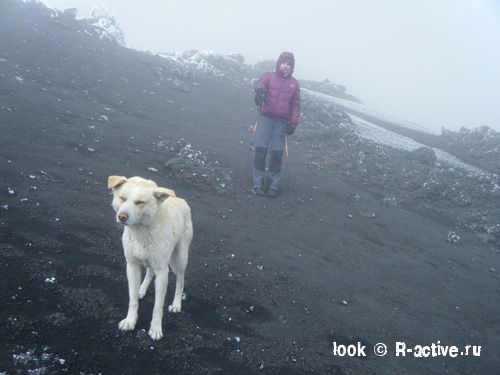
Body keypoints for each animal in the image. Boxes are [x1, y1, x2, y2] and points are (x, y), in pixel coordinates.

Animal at [108, 176, 193, 340]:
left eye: (140, 202)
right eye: (122, 198)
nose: (122, 216)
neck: (142, 230)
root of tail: (181, 199)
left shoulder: (163, 272)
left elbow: (157, 307)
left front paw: (155, 329)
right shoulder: (132, 265)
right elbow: (132, 299)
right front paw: (130, 320)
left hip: (179, 259)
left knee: (180, 280)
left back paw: (176, 304)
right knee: (149, 272)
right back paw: (141, 289)